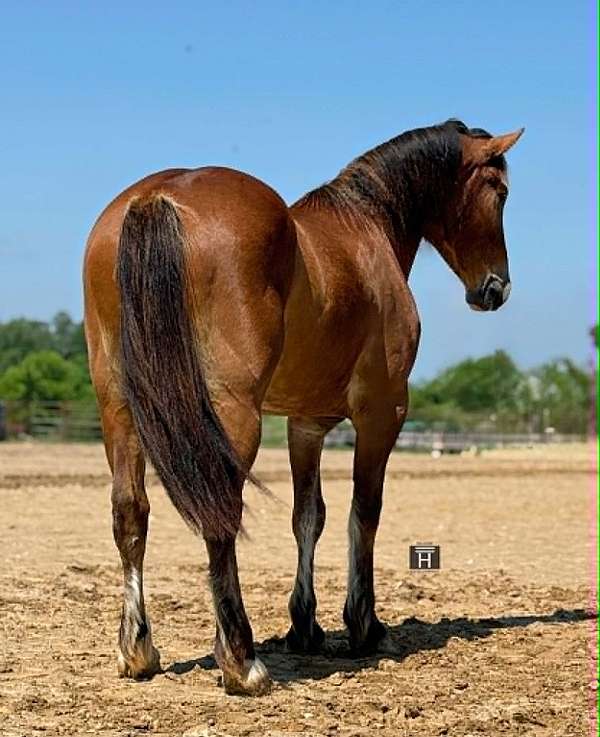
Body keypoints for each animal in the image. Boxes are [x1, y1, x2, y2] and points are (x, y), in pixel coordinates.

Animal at [83, 119, 523, 695]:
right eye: (500, 191)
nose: (495, 288)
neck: (366, 228)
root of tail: (158, 197)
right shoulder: (383, 412)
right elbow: (365, 512)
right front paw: (364, 625)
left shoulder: (306, 424)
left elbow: (308, 517)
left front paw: (305, 626)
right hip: (232, 414)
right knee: (220, 515)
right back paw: (241, 661)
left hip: (119, 409)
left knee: (129, 512)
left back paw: (137, 650)